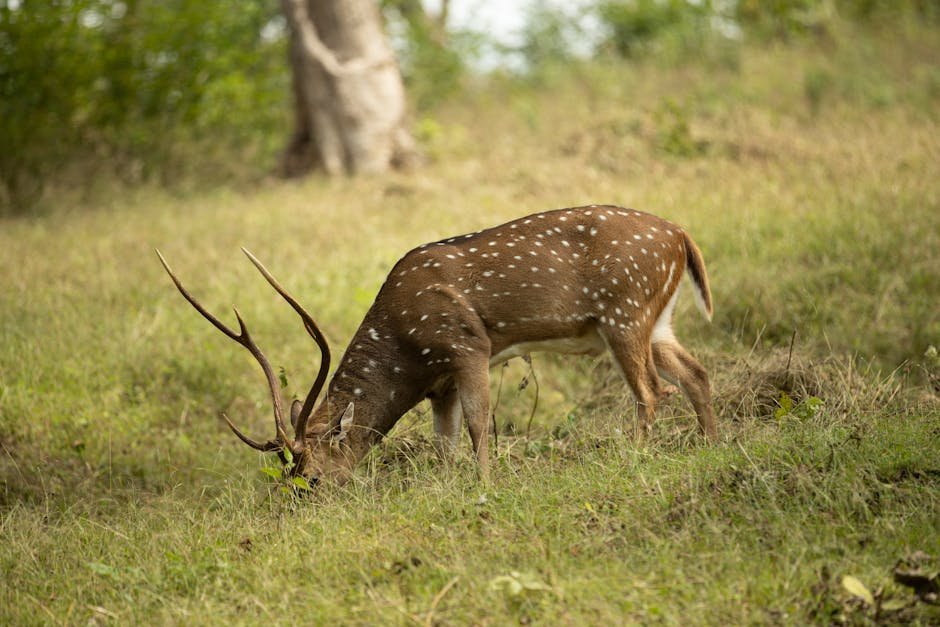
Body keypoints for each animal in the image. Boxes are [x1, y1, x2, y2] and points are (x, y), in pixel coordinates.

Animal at [157, 205, 716, 487]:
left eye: (311, 477)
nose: (298, 506)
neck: (405, 351)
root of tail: (683, 237)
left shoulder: (466, 346)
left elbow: (479, 424)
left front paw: (485, 488)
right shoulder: (438, 383)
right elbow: (443, 441)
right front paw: (447, 487)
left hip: (624, 312)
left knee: (651, 390)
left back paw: (637, 460)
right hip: (656, 320)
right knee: (695, 372)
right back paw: (712, 445)